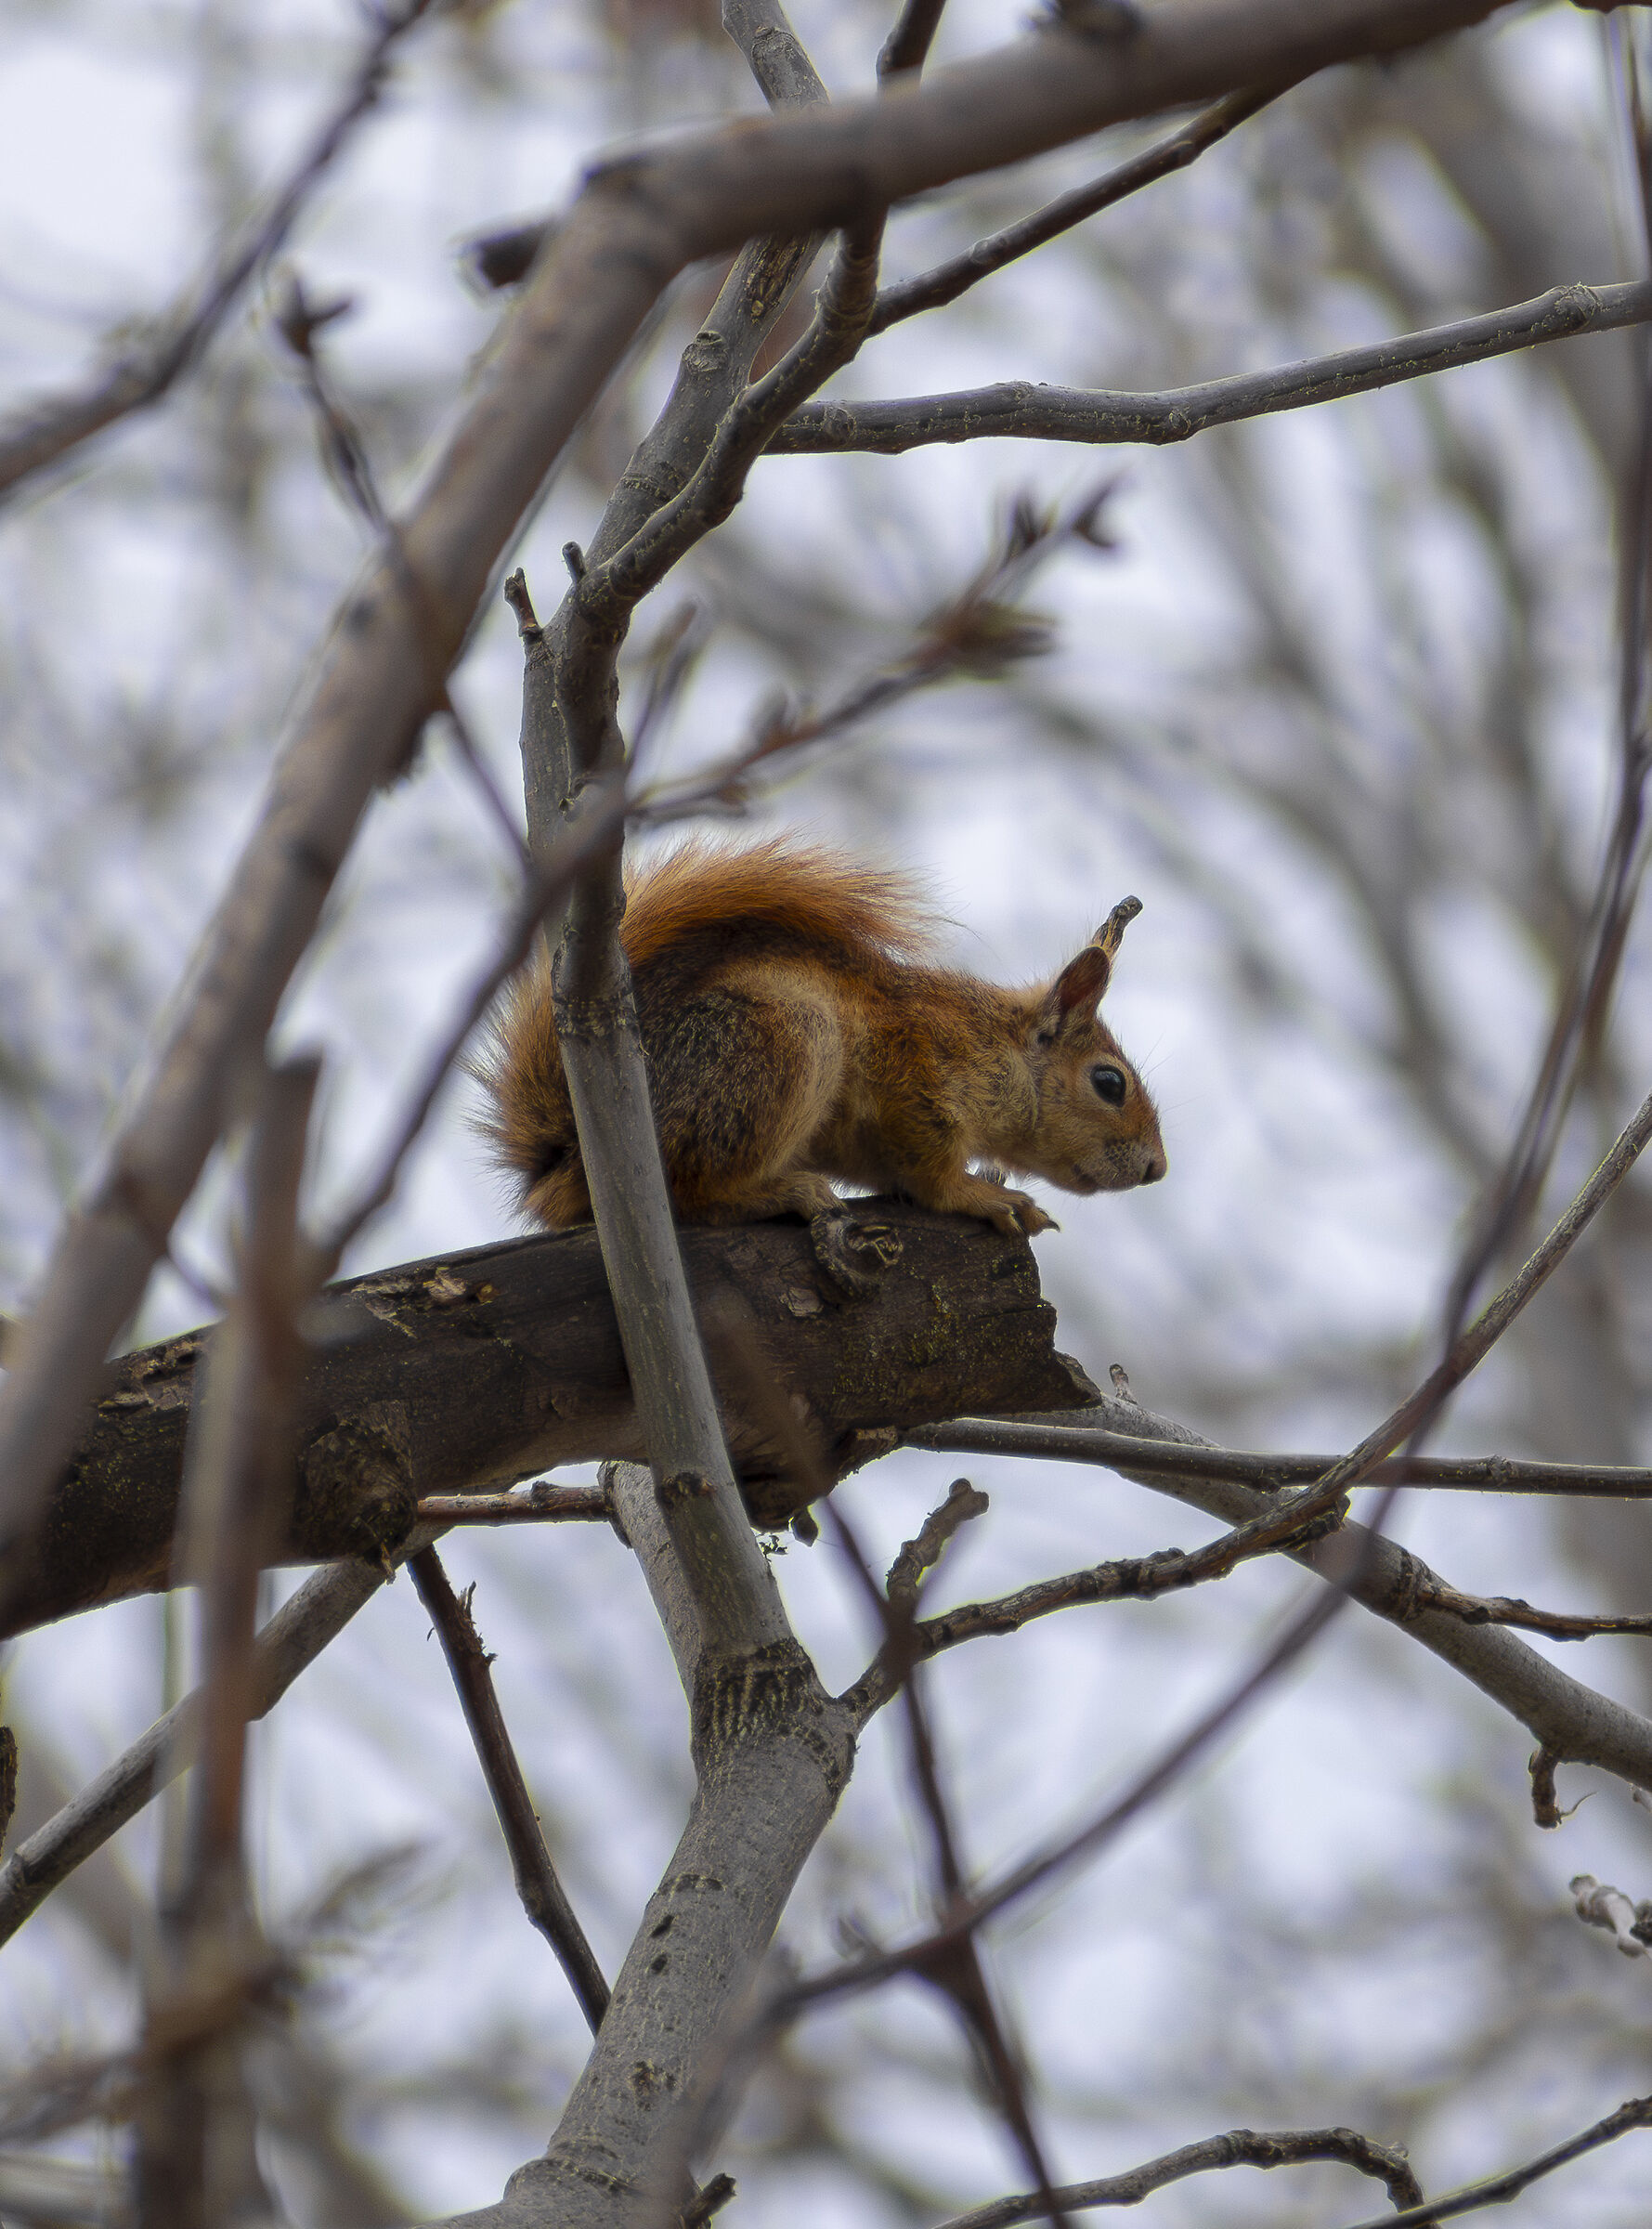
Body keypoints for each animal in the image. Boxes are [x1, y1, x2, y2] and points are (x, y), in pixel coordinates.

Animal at [479, 837, 1166, 1240]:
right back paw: (788, 1191)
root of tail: (564, 1161)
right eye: (1109, 1082)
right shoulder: (914, 1074)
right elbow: (931, 1173)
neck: (993, 1047)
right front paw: (980, 1195)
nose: (1156, 1169)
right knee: (692, 1193)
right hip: (774, 1046)